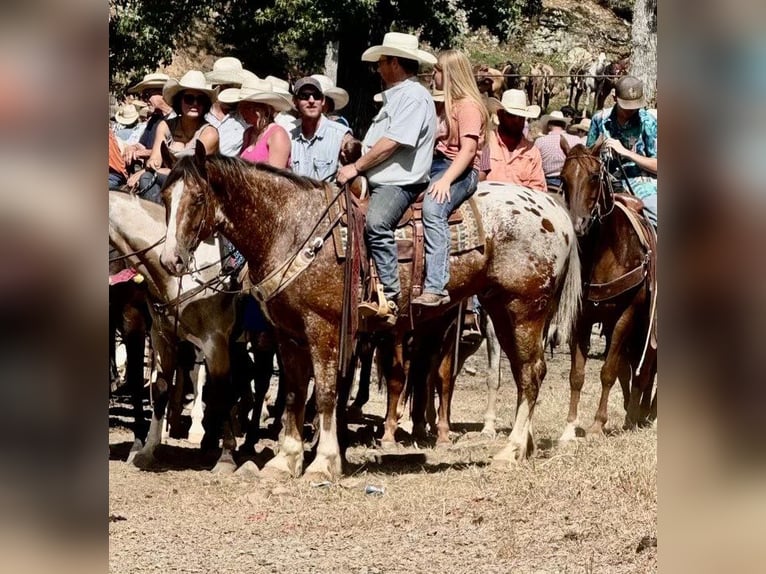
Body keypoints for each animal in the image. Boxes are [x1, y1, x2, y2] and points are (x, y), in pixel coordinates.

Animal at [160, 143, 584, 482]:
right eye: (165, 197)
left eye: (197, 199)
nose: (170, 260)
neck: (291, 226)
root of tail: (555, 212)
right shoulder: (288, 333)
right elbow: (294, 392)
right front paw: (286, 461)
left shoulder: (323, 328)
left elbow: (326, 393)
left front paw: (323, 463)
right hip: (503, 309)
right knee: (526, 373)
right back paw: (523, 447)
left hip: (524, 309)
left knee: (530, 374)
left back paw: (510, 451)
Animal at [560, 140, 660, 440]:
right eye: (563, 178)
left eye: (594, 176)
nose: (578, 225)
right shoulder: (580, 318)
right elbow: (577, 374)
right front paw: (570, 426)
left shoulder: (626, 315)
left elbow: (608, 371)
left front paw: (597, 424)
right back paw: (636, 412)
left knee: (648, 366)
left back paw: (645, 414)